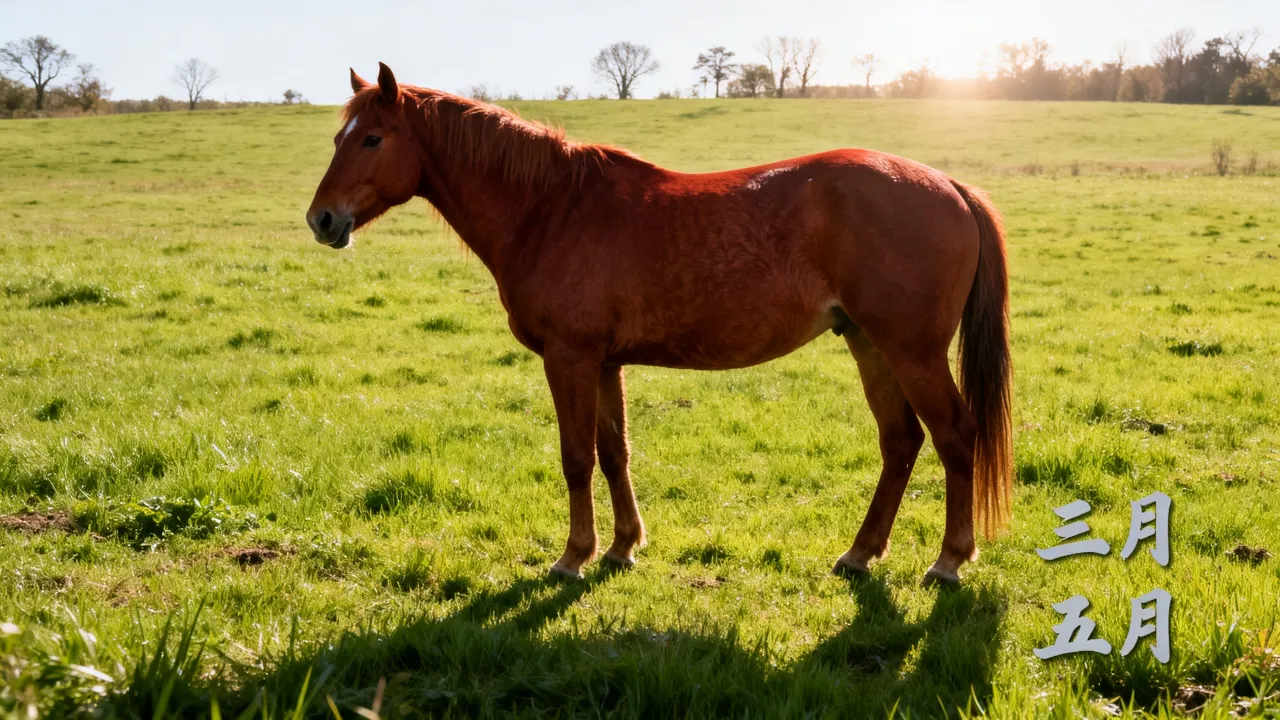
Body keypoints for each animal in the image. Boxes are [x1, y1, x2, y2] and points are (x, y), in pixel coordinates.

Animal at [306, 63, 1013, 585]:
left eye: (372, 138)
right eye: (339, 138)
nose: (322, 220)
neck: (550, 207)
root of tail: (950, 186)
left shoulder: (569, 357)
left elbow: (575, 457)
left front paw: (573, 556)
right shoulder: (604, 362)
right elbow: (613, 452)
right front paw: (622, 547)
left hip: (912, 351)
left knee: (955, 436)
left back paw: (949, 561)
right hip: (870, 345)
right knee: (901, 442)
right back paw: (860, 554)